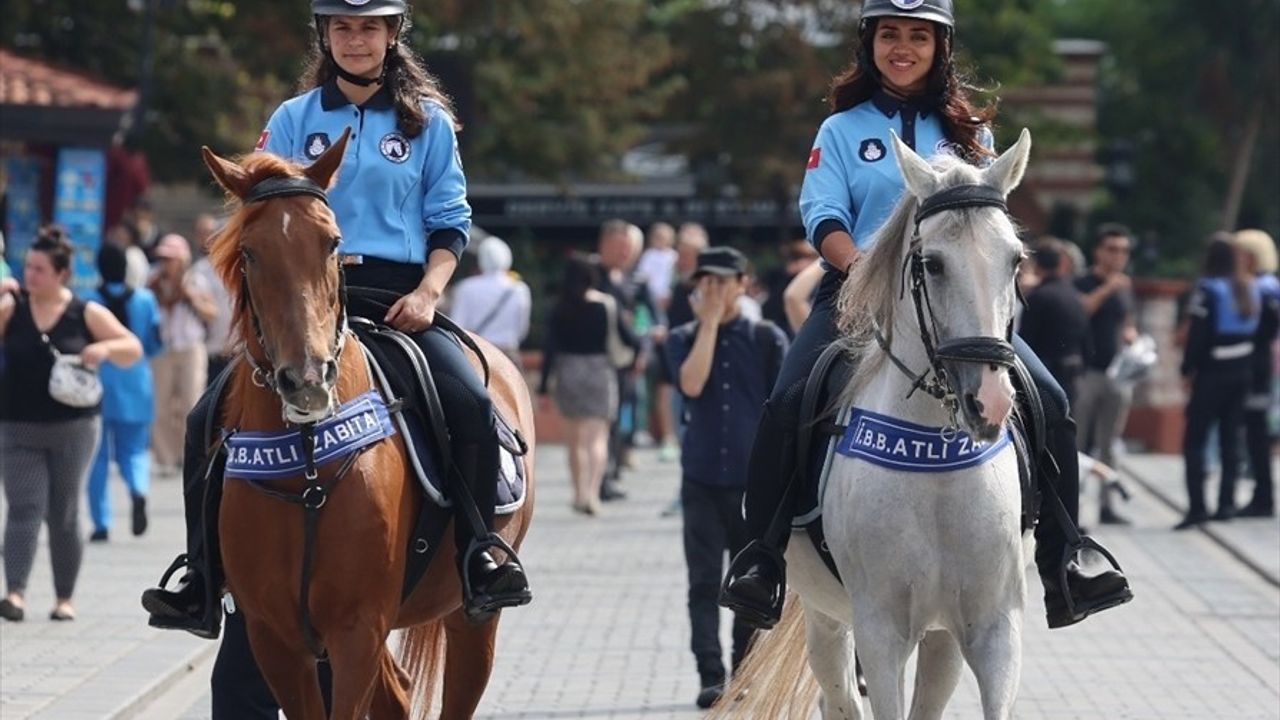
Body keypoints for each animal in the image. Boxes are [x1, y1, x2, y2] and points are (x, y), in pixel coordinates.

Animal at [202, 130, 532, 717]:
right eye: (249, 253)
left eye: (332, 243)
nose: (307, 379)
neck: (307, 465)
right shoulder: (274, 637)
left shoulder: (358, 629)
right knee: (397, 694)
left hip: (470, 619)